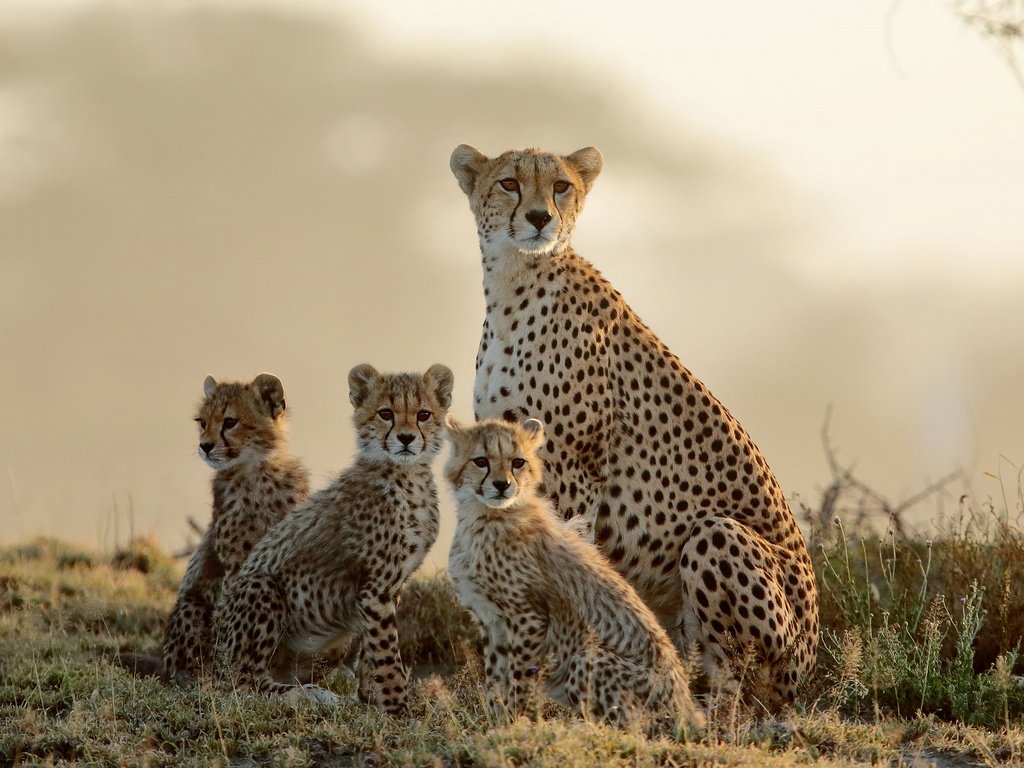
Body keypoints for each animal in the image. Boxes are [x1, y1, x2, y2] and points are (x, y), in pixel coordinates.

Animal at [452, 143, 819, 704]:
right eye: (509, 183)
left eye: (560, 186)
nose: (539, 218)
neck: (515, 279)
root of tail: (815, 660)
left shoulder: (571, 470)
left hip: (718, 538)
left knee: (738, 680)